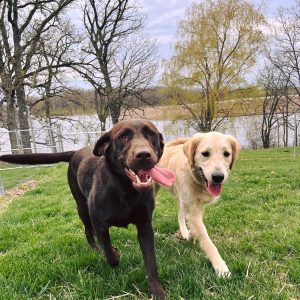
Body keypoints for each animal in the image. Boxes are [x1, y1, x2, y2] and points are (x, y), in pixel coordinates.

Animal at [0, 119, 175, 298]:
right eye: (123, 137)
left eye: (151, 134)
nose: (144, 154)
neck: (125, 189)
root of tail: (75, 151)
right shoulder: (99, 222)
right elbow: (110, 255)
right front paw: (114, 253)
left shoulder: (145, 227)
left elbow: (151, 262)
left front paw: (157, 290)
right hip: (82, 208)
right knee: (88, 231)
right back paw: (95, 247)